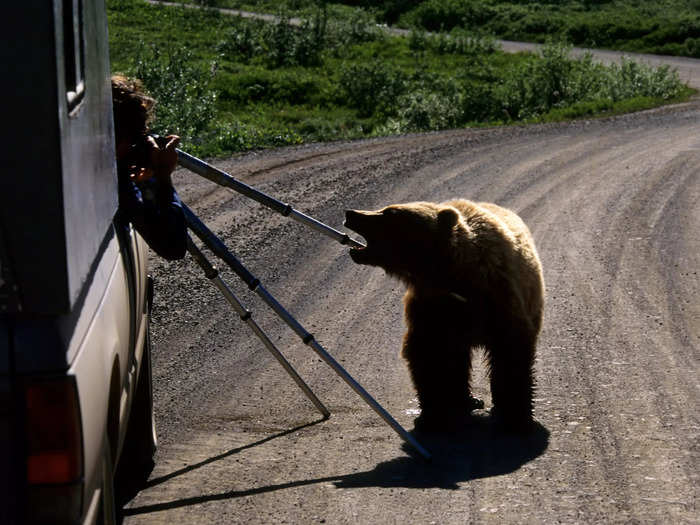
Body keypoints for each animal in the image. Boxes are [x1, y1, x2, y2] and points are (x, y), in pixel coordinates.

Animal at [344, 199, 540, 432]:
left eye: (389, 212)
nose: (350, 213)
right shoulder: (431, 307)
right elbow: (429, 353)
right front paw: (435, 413)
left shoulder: (498, 296)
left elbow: (510, 349)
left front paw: (515, 415)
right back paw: (466, 399)